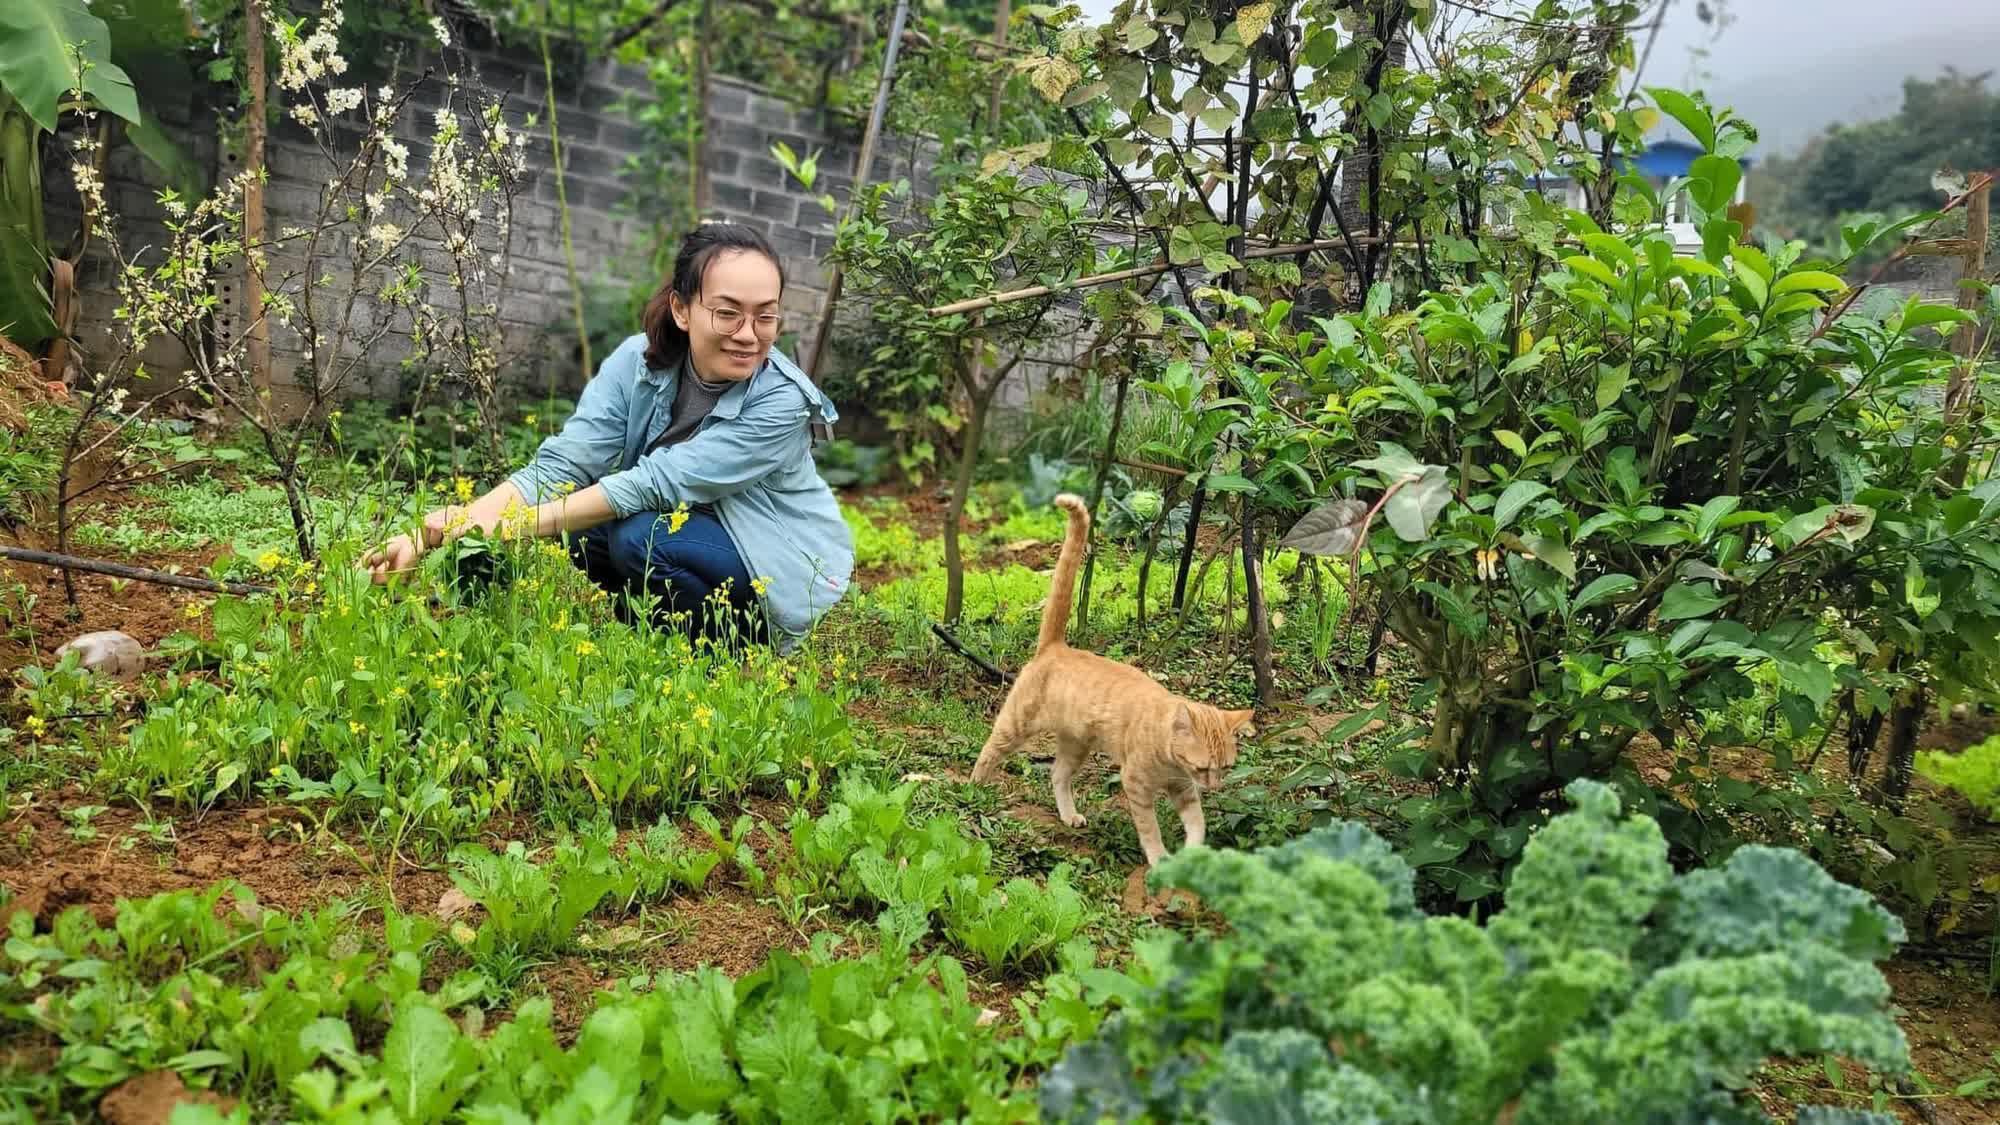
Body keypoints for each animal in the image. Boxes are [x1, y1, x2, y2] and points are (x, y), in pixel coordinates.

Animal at [968, 488, 1248, 856]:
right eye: (1203, 767)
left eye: (1226, 768)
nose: (1214, 787)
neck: (1169, 755)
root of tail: (1056, 645)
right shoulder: (1137, 785)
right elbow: (1150, 830)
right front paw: (1160, 859)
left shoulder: (1184, 790)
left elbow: (1197, 824)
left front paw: (1192, 855)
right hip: (1016, 725)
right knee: (989, 751)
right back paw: (973, 789)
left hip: (1076, 743)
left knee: (1057, 775)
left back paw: (1068, 815)